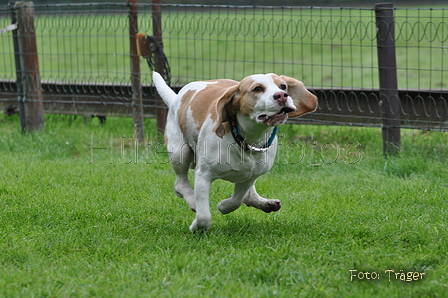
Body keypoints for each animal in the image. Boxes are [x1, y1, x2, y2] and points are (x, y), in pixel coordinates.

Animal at [154, 72, 318, 233]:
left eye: (283, 86)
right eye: (257, 89)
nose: (282, 95)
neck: (246, 140)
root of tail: (176, 98)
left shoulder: (249, 177)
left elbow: (237, 200)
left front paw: (223, 206)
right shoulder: (203, 175)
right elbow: (204, 215)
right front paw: (197, 227)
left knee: (248, 196)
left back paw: (264, 203)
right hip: (179, 152)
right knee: (180, 184)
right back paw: (192, 200)